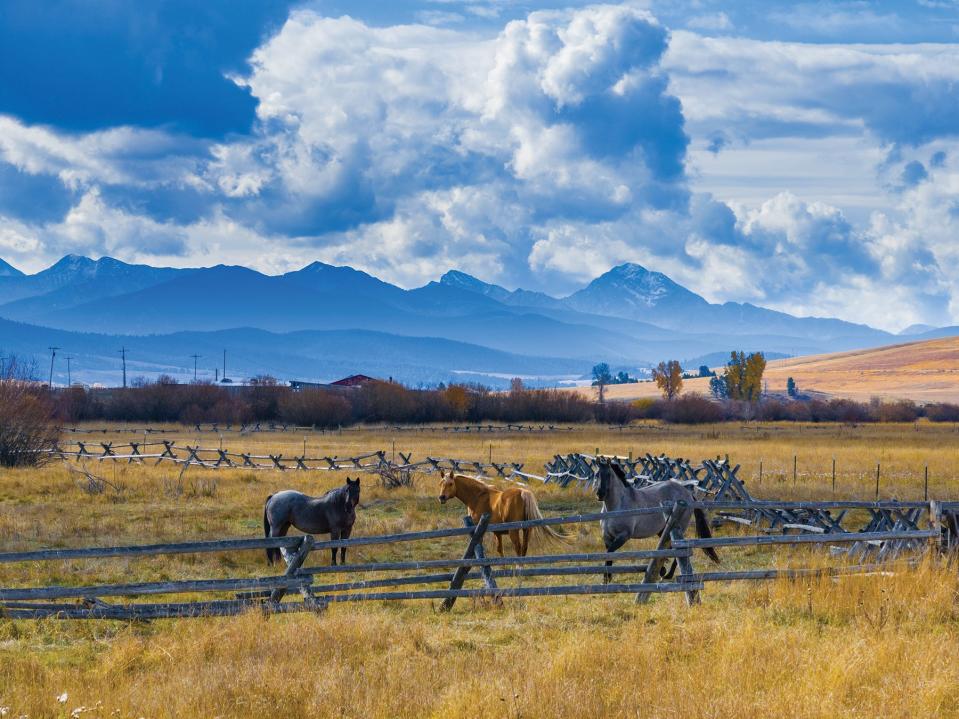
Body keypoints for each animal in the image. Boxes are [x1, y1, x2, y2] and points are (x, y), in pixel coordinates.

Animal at [438, 472, 568, 556]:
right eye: (441, 484)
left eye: (450, 484)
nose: (441, 497)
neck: (478, 497)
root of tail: (522, 492)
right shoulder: (497, 532)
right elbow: (500, 550)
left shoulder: (478, 530)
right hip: (527, 530)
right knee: (524, 548)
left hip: (514, 531)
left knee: (518, 548)